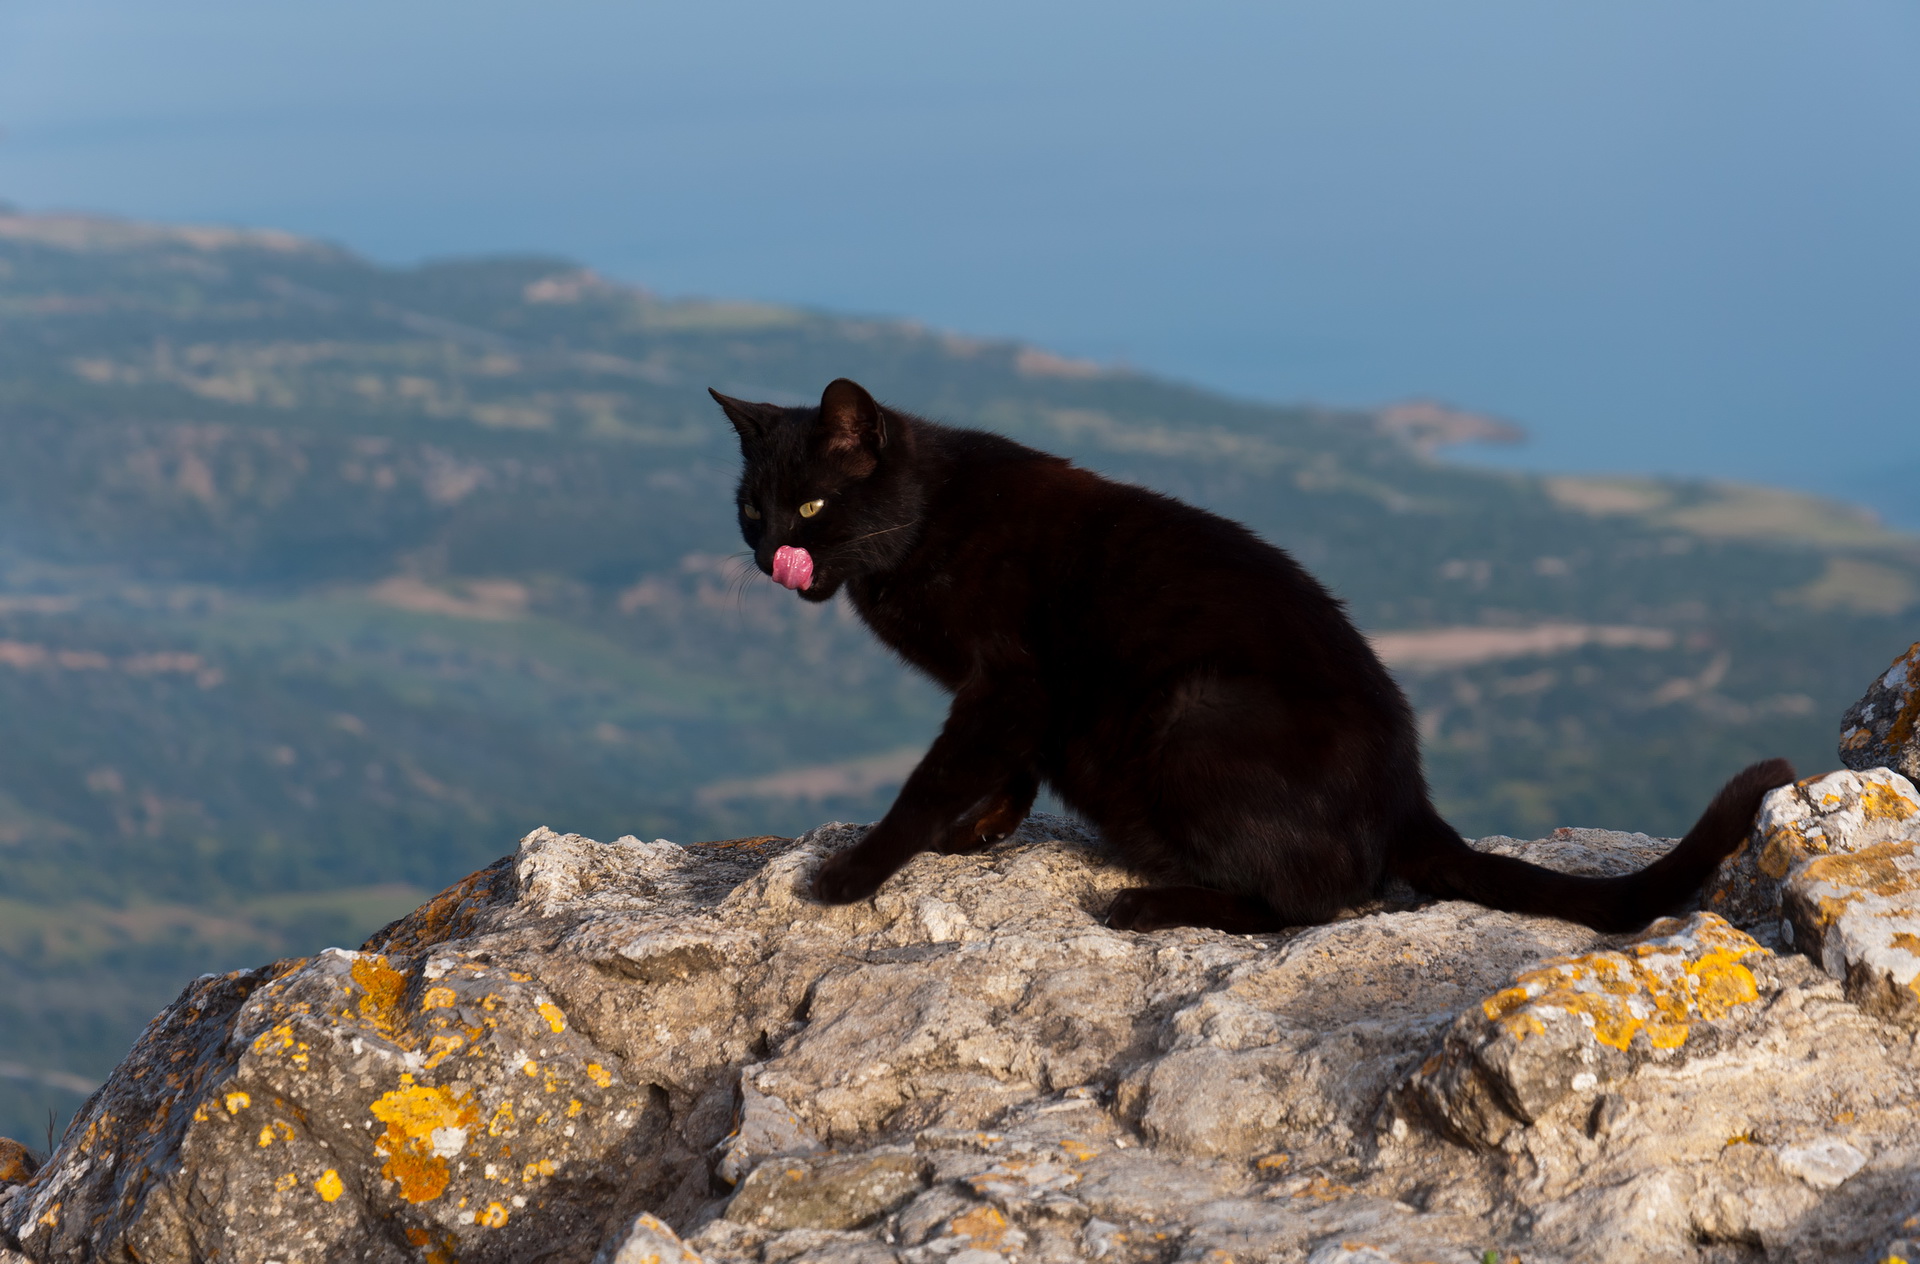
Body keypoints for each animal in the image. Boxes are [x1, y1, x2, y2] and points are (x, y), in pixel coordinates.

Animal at [710, 374, 1797, 925]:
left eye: (815, 506)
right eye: (752, 509)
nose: (772, 554)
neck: (923, 522)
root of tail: (1410, 798)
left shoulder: (1005, 681)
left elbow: (931, 778)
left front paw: (852, 874)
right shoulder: (1007, 701)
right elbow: (1001, 773)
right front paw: (981, 832)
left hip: (1195, 711)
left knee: (1315, 899)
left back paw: (1141, 906)